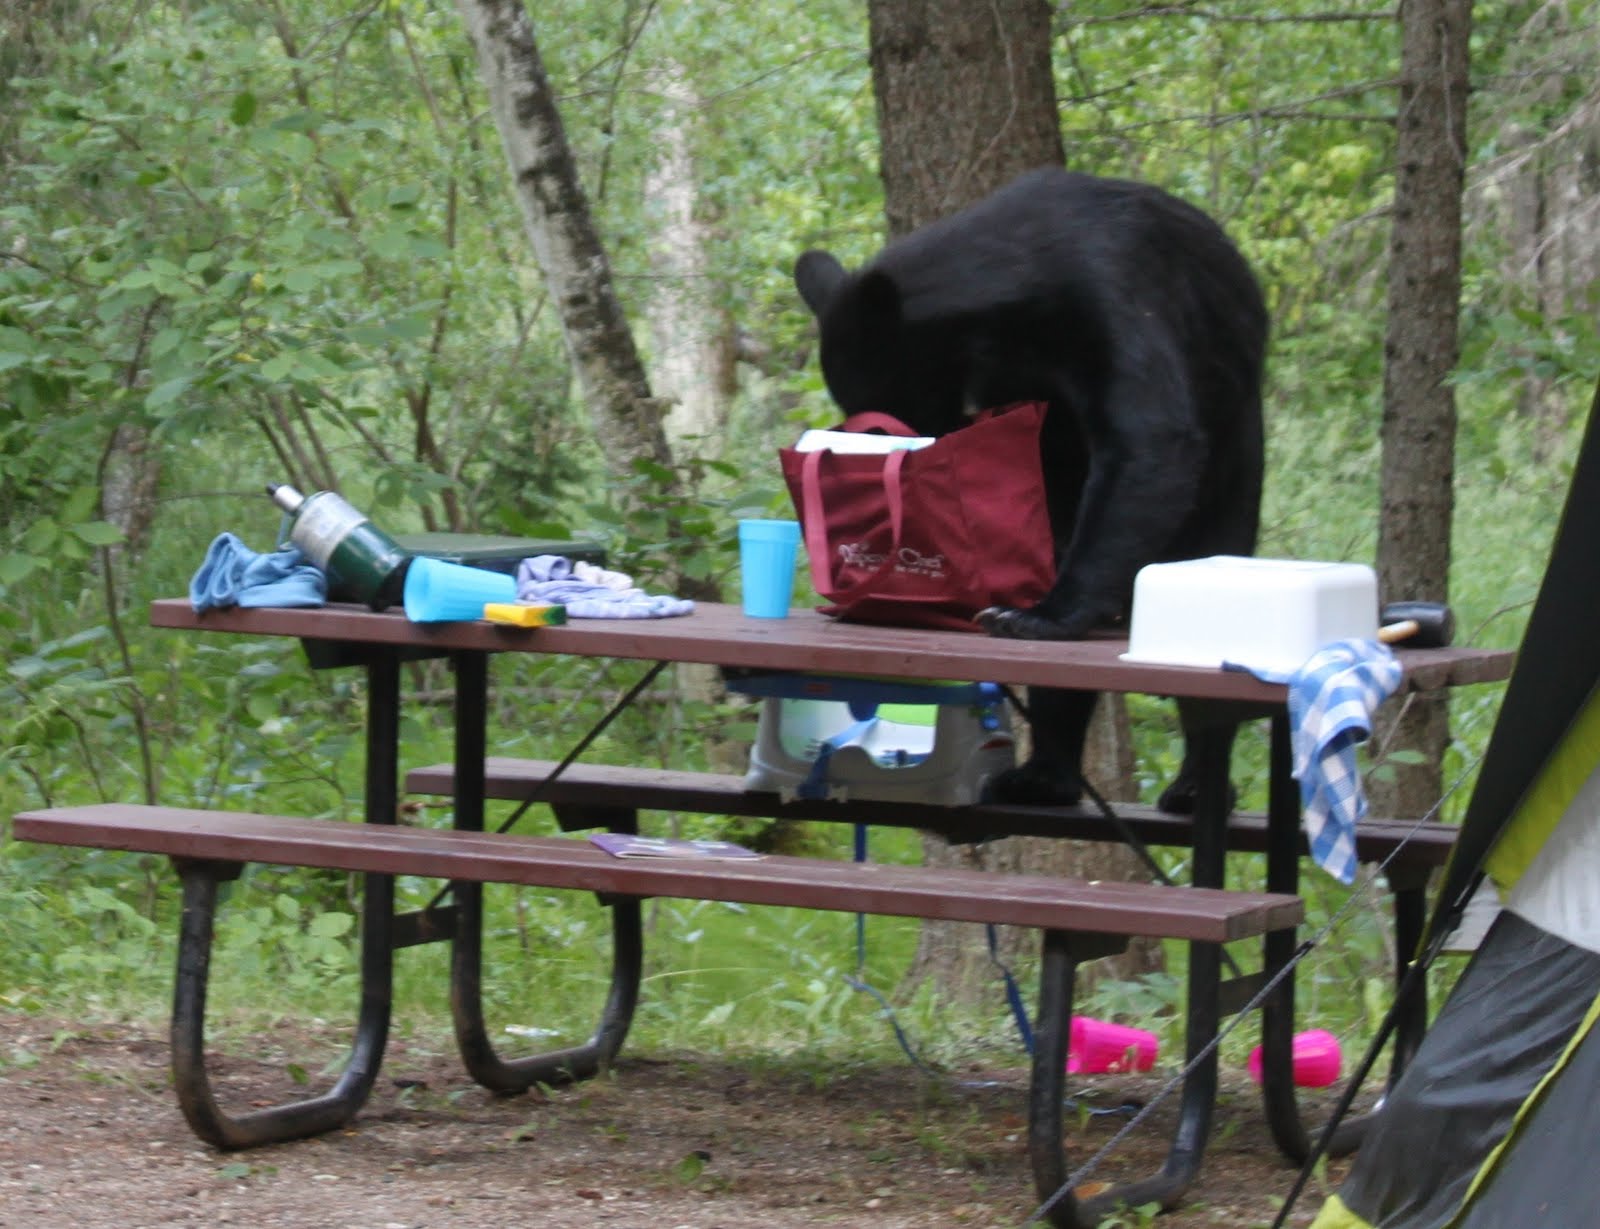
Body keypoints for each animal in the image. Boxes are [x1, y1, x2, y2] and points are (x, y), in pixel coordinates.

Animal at [794, 167, 1268, 810]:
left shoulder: (1111, 289)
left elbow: (1150, 435)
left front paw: (1043, 614)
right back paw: (1042, 776)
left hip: (1234, 449)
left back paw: (1196, 785)